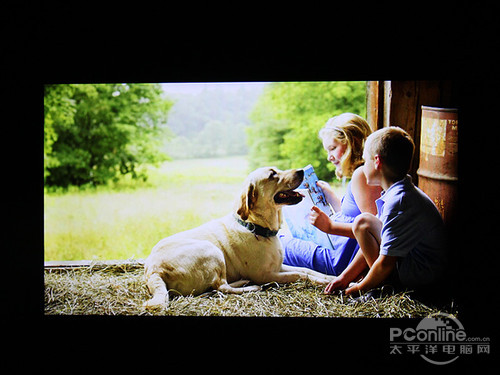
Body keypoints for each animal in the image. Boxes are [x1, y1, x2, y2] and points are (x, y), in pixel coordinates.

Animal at [143, 167, 334, 308]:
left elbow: (307, 270)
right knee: (221, 286)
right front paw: (325, 282)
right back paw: (248, 285)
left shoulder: (279, 267)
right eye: (272, 174)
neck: (256, 227)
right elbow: (301, 275)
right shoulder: (267, 275)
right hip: (212, 250)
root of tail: (153, 271)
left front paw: (330, 278)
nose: (301, 170)